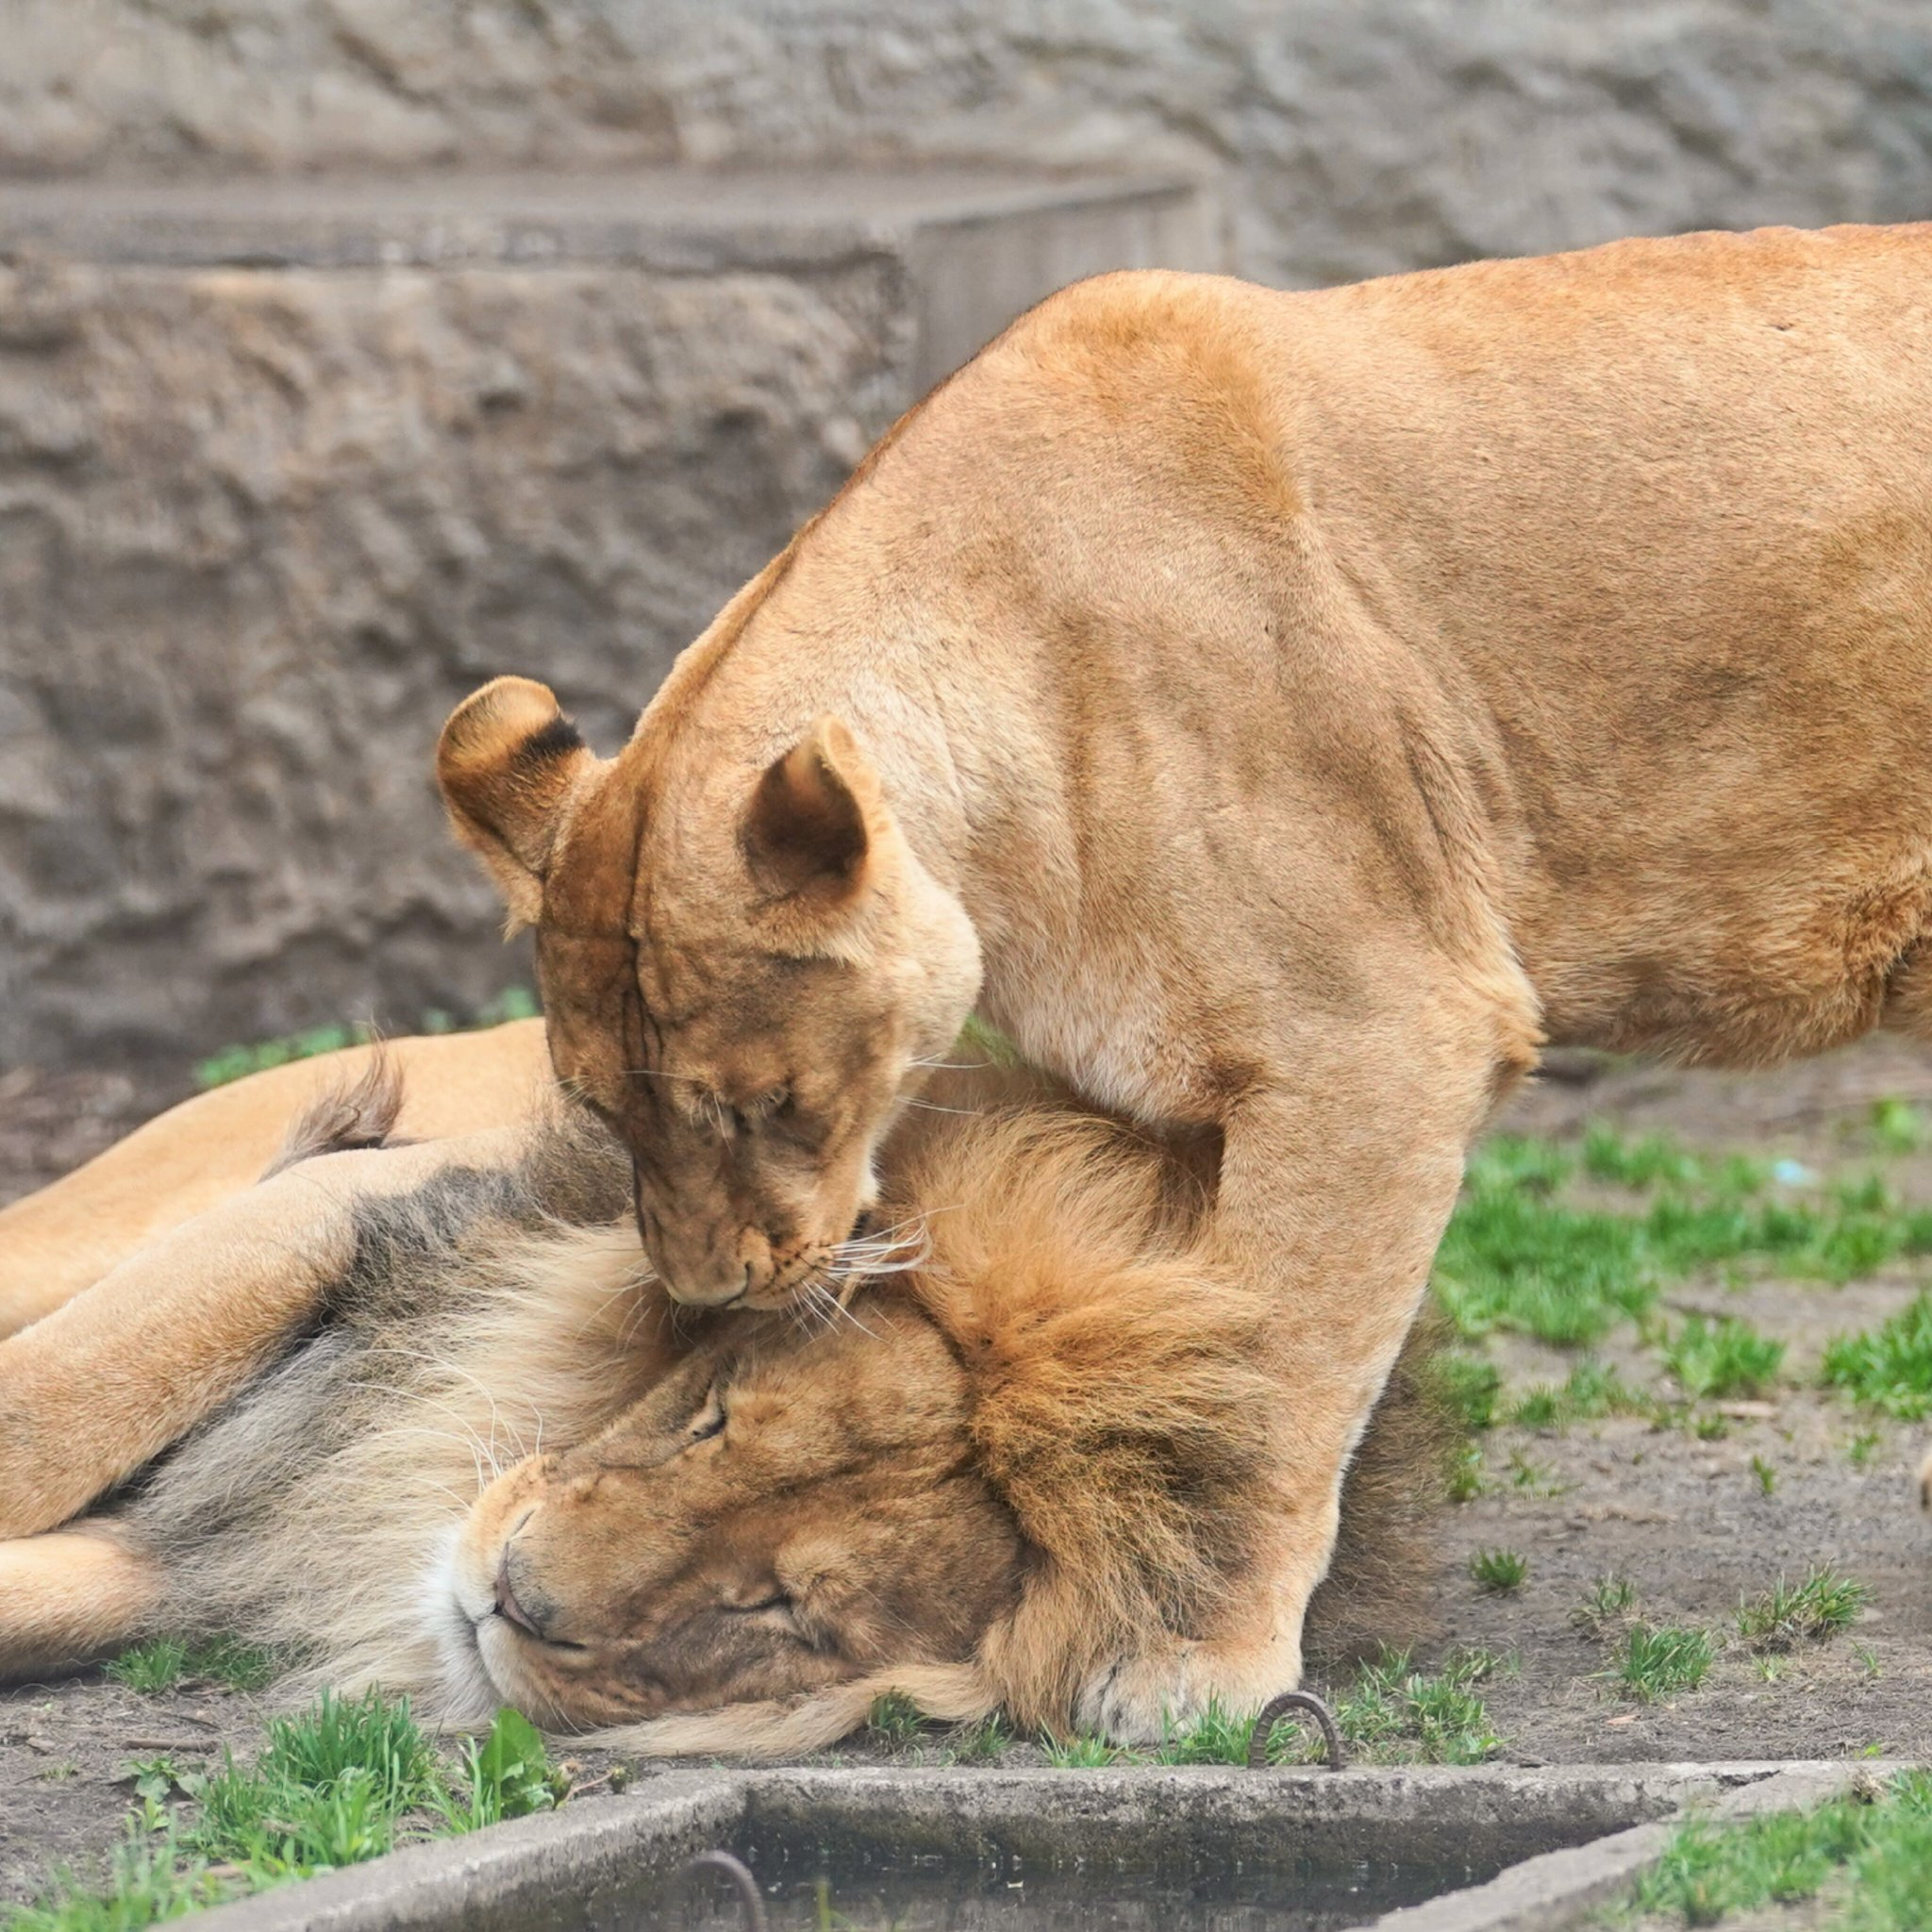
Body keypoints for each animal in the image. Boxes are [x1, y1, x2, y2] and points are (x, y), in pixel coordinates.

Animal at [0, 1042, 1437, 1754]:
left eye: (778, 1608)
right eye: (711, 1419)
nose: (509, 1598)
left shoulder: (227, 1544)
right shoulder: (337, 1215)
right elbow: (41, 1419)